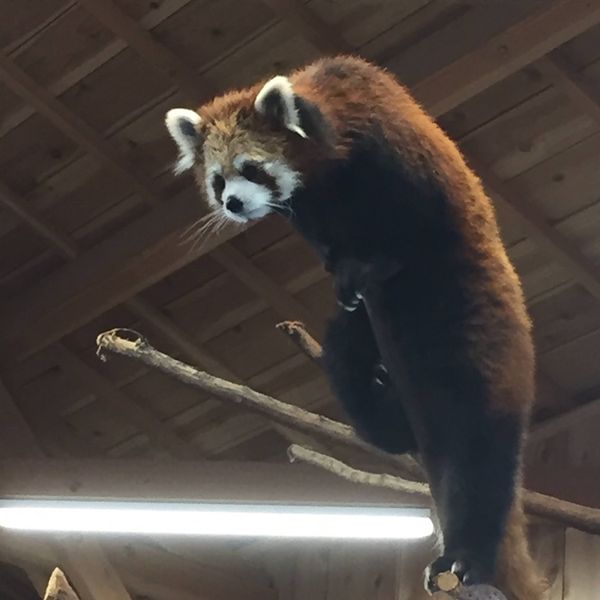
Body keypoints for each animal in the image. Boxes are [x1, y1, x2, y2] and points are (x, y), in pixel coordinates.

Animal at [166, 56, 548, 600]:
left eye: (252, 169)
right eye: (218, 180)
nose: (233, 204)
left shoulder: (398, 164)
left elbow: (411, 224)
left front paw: (372, 260)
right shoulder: (316, 211)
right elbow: (331, 248)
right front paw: (344, 268)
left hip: (480, 343)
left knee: (481, 457)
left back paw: (468, 557)